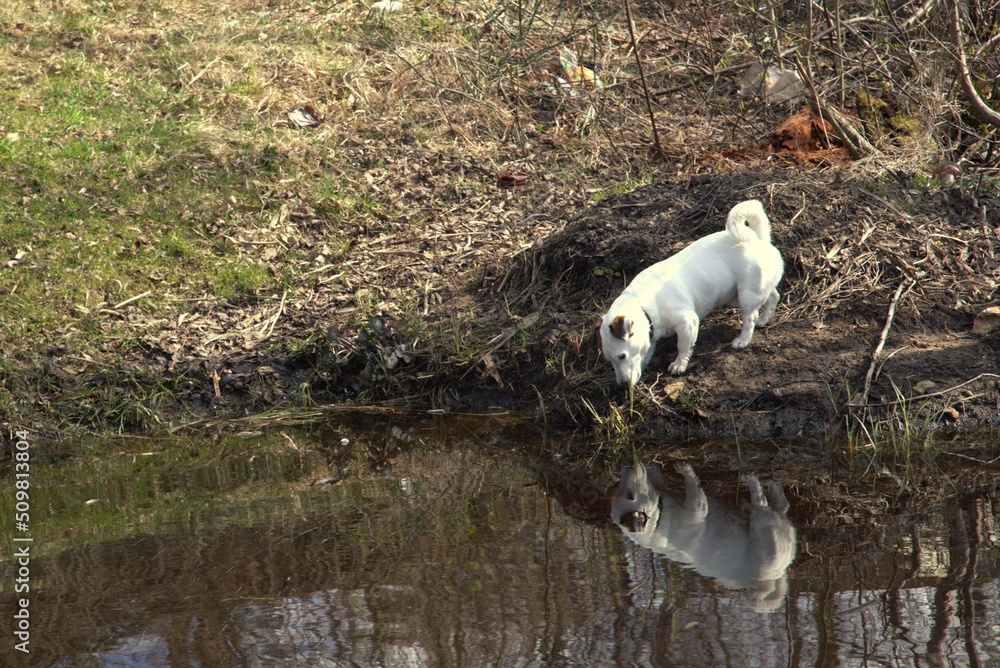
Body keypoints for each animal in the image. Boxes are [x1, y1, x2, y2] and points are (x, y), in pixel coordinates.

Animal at [596, 200, 784, 386]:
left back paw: (743, 340)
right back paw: (764, 319)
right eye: (609, 361)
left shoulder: (687, 323)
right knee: (774, 296)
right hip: (739, 295)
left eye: (622, 356)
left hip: (746, 294)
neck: (644, 306)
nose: (621, 385)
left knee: (750, 318)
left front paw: (679, 364)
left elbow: (683, 347)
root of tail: (759, 238)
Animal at [608, 462, 796, 612]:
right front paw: (685, 469)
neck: (657, 522)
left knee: (782, 505)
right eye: (630, 495)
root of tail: (772, 577)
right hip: (763, 522)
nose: (628, 465)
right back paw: (751, 482)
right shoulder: (697, 507)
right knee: (763, 501)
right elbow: (693, 485)